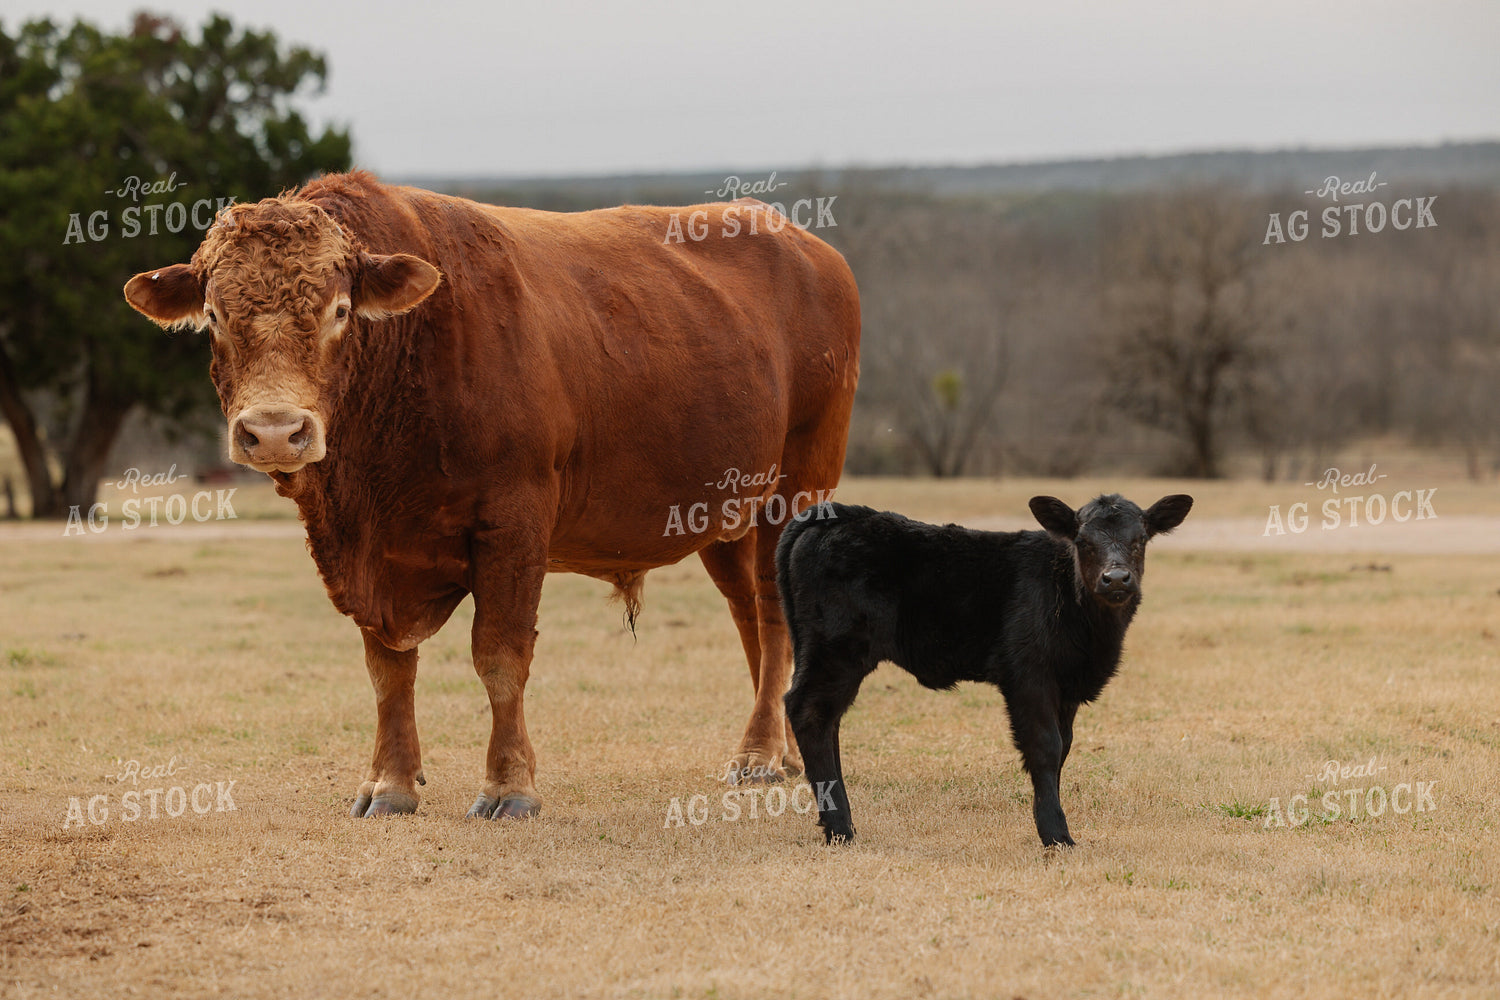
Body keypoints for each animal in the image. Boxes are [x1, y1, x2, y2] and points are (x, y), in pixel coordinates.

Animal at [123, 170, 860, 820]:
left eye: (339, 311)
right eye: (214, 315)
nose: (275, 430)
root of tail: (807, 245)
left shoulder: (513, 525)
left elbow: (500, 657)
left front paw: (510, 787)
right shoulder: (369, 553)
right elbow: (388, 669)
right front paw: (390, 783)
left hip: (795, 490)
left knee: (772, 614)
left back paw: (760, 754)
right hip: (726, 516)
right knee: (749, 618)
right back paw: (781, 750)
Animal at [777, 493, 1193, 846]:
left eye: (1140, 539)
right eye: (1083, 541)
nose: (1116, 578)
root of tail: (838, 514)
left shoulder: (1068, 685)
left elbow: (1065, 746)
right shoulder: (1028, 674)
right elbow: (1046, 746)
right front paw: (1056, 834)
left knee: (829, 721)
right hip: (837, 648)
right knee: (809, 712)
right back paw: (840, 828)